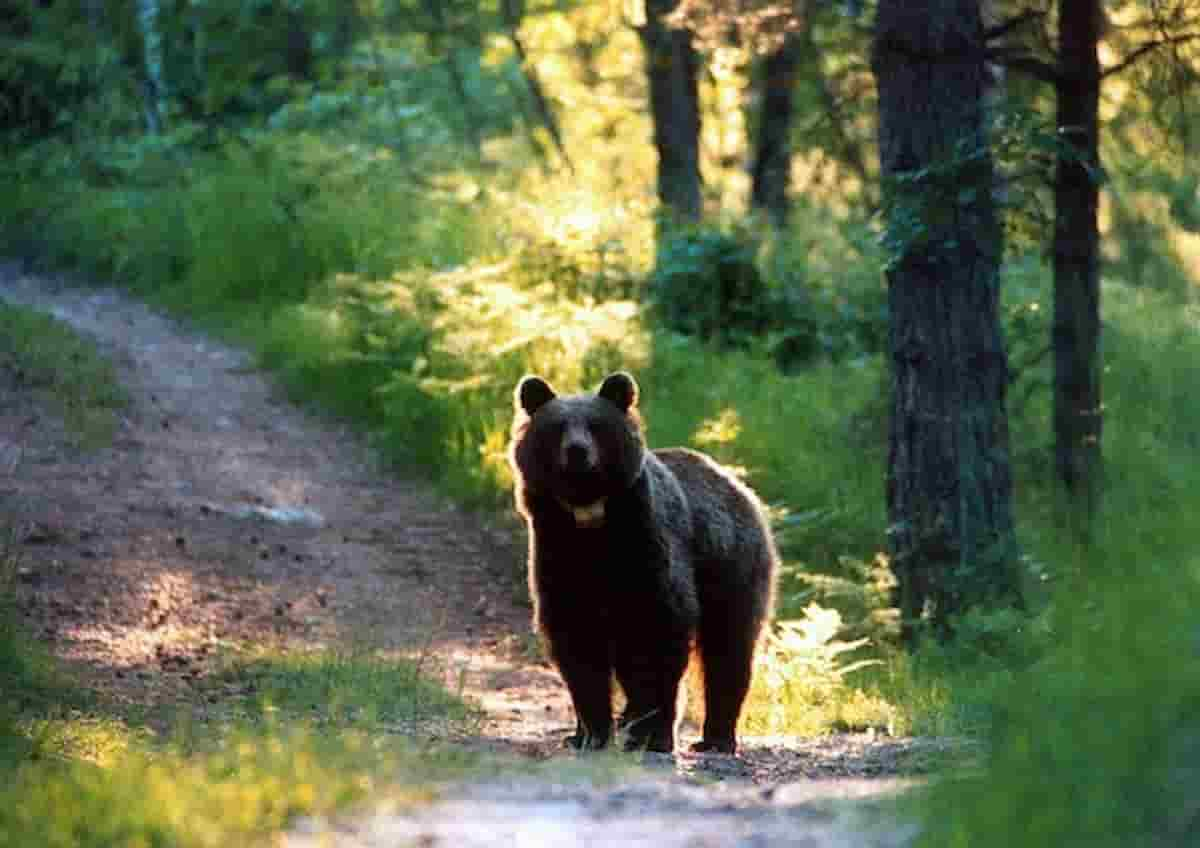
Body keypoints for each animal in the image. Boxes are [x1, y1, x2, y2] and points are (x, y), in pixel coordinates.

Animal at [506, 371, 777, 758]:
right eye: (557, 427)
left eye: (596, 425)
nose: (577, 451)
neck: (591, 522)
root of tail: (736, 484)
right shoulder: (558, 554)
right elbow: (576, 641)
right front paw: (592, 733)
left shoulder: (647, 551)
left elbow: (658, 634)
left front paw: (652, 735)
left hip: (730, 565)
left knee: (729, 649)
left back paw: (715, 738)